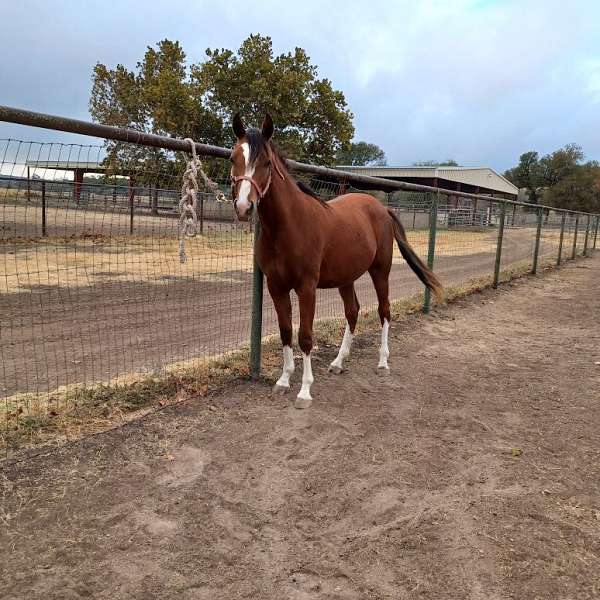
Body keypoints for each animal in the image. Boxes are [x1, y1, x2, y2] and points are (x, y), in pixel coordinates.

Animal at [229, 113, 440, 408]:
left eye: (266, 163)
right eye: (232, 158)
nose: (243, 207)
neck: (289, 226)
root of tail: (381, 208)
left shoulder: (306, 287)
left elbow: (306, 337)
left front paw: (305, 391)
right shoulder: (276, 287)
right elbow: (286, 332)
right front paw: (283, 380)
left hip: (380, 272)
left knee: (384, 311)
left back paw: (383, 362)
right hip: (346, 278)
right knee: (352, 312)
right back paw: (339, 362)